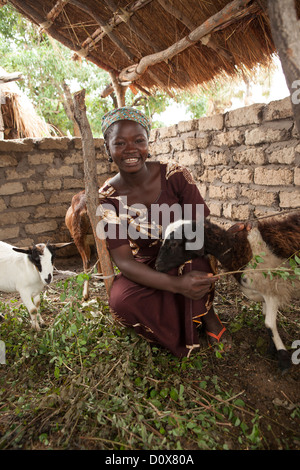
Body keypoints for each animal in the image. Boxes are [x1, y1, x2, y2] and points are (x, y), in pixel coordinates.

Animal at [156, 212, 300, 370]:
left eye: (174, 244)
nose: (157, 265)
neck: (238, 249)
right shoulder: (265, 293)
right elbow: (265, 319)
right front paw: (272, 349)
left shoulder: (273, 291)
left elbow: (269, 324)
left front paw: (283, 358)